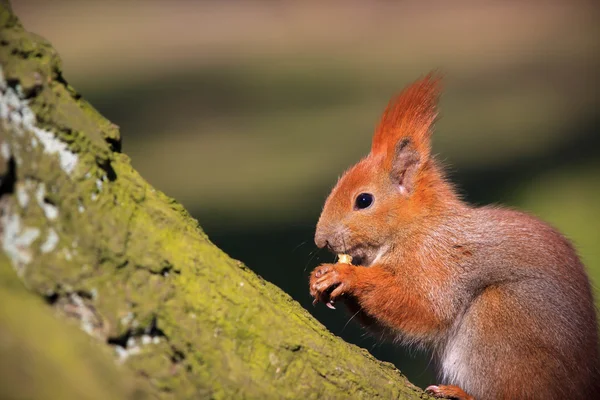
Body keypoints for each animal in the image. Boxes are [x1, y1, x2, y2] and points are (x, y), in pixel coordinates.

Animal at [310, 73, 600, 398]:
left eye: (363, 200)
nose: (320, 239)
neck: (418, 227)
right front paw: (320, 276)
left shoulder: (439, 261)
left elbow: (425, 310)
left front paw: (346, 275)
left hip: (501, 321)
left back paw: (461, 392)